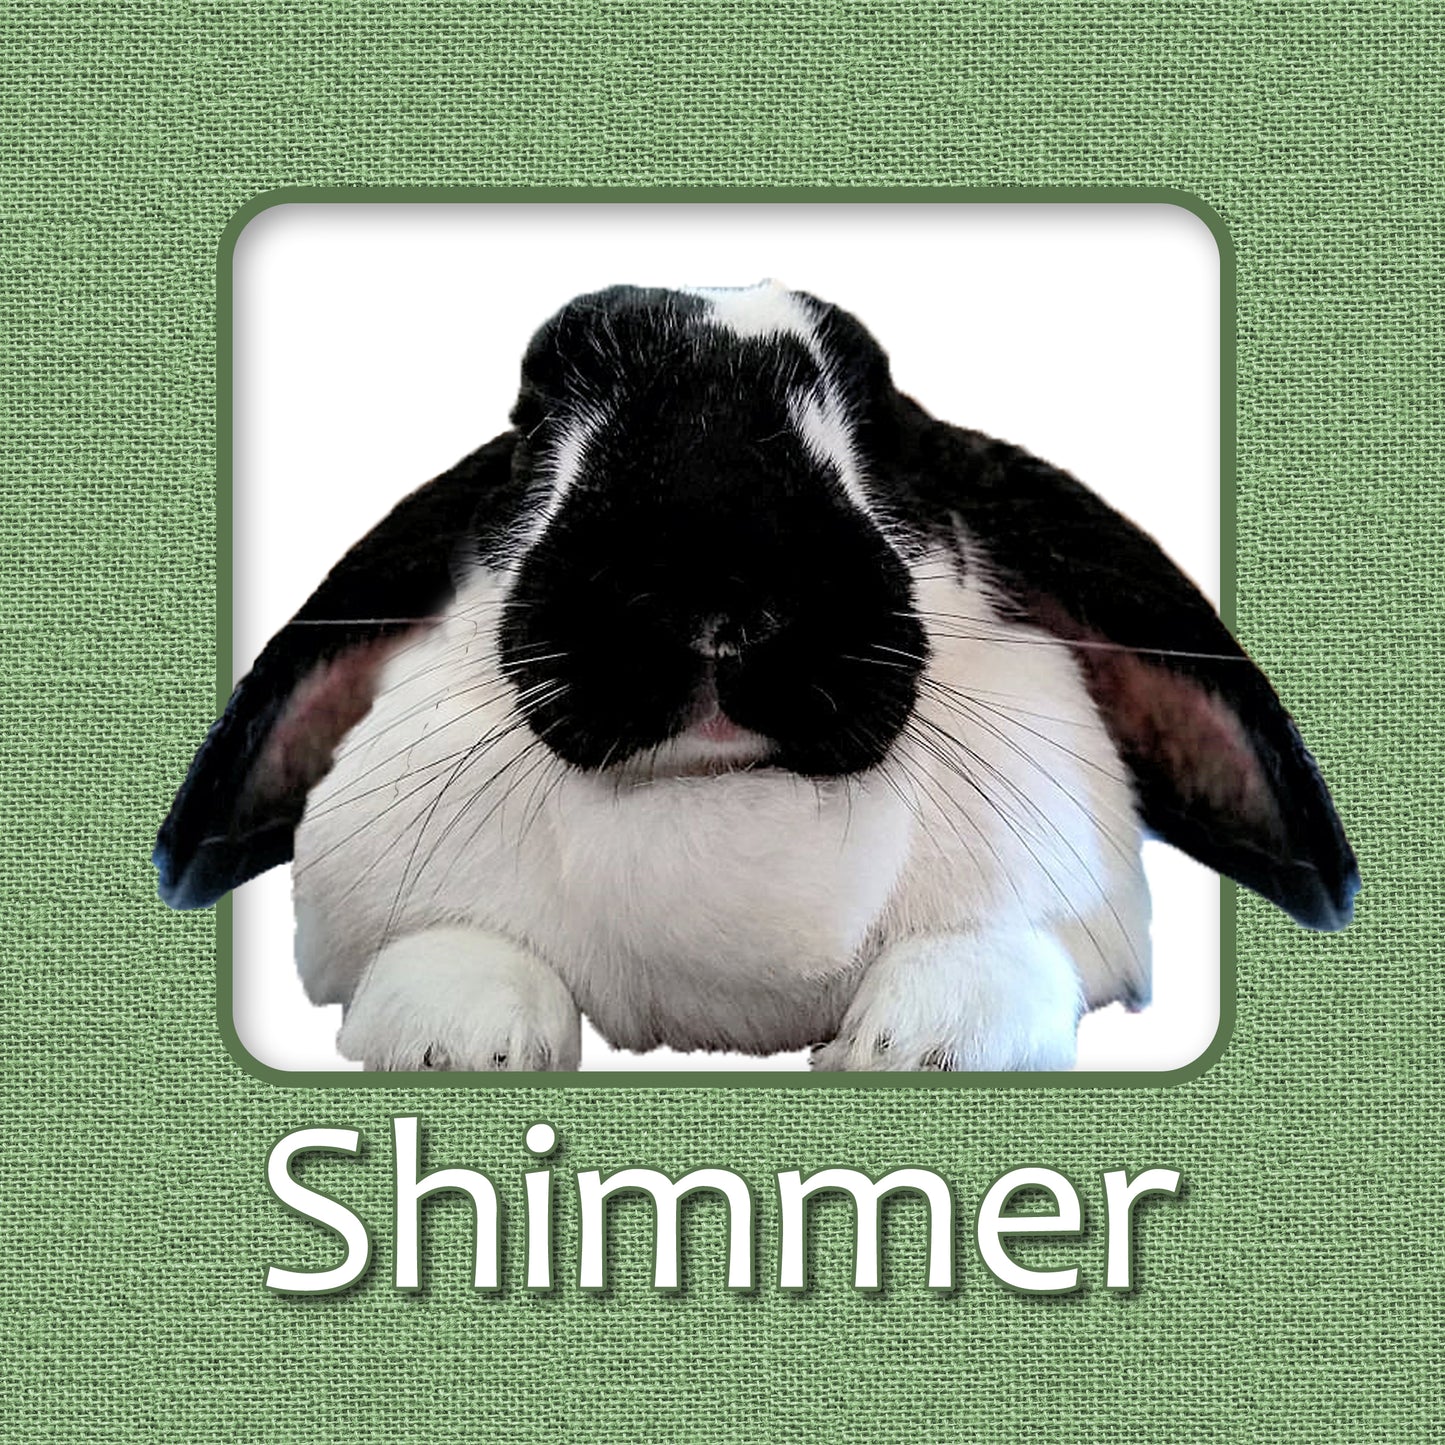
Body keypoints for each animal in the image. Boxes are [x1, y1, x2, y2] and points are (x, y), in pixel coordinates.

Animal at [155, 280, 1358, 1072]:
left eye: (874, 420)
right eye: (531, 420)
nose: (715, 597)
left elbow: (997, 962)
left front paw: (910, 1045)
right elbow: (440, 959)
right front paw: (463, 1039)